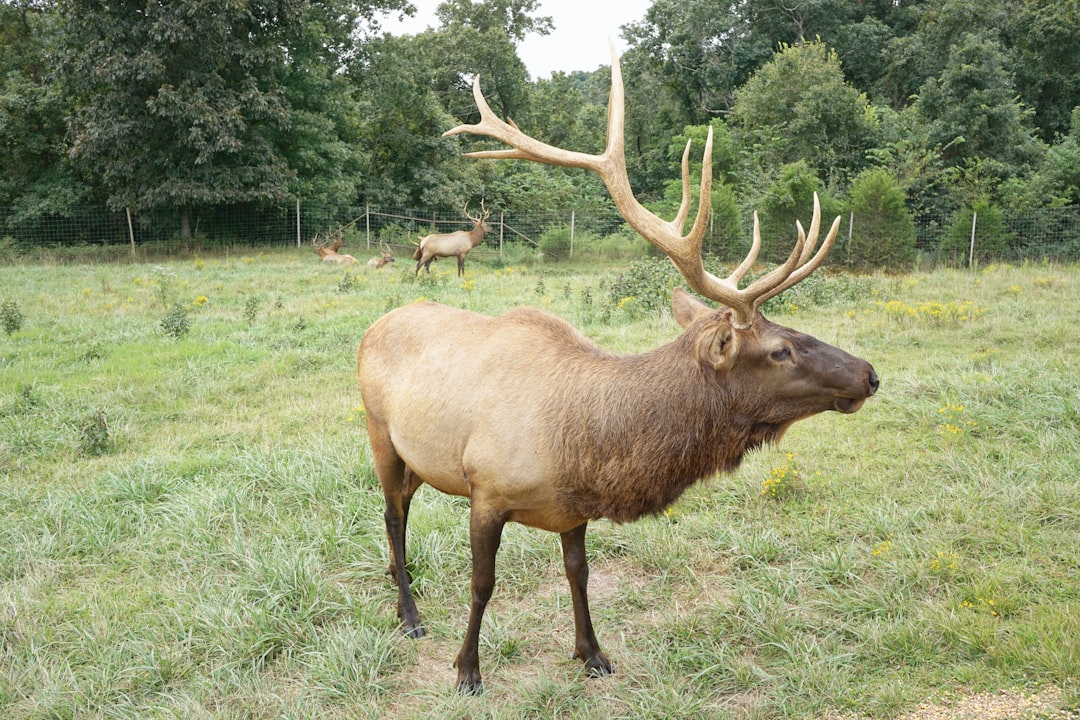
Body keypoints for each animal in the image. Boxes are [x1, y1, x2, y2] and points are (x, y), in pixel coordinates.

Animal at [358, 46, 881, 699]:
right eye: (781, 349)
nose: (868, 374)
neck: (587, 450)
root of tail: (374, 326)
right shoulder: (487, 490)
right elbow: (483, 585)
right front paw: (467, 670)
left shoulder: (572, 510)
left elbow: (578, 574)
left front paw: (593, 653)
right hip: (379, 431)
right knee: (391, 512)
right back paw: (408, 614)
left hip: (422, 456)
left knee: (401, 510)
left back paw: (395, 580)